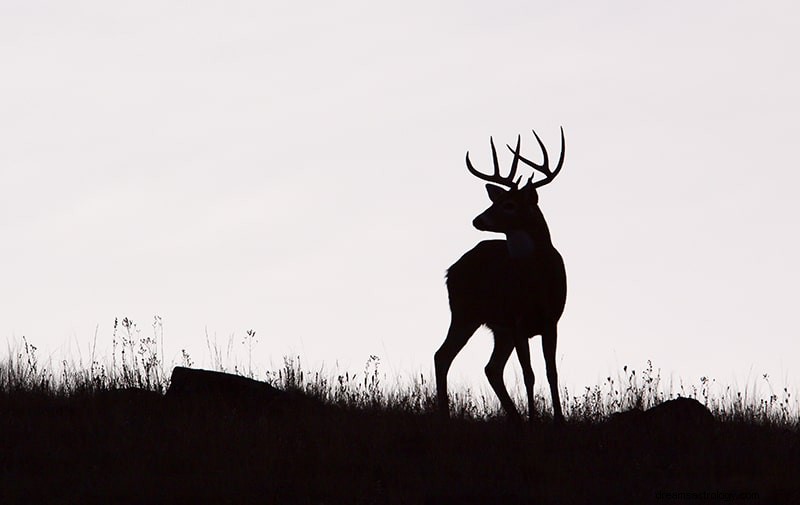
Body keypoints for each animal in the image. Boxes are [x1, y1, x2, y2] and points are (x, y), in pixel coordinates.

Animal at [438, 128, 568, 424]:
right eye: (494, 201)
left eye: (509, 204)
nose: (477, 220)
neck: (537, 281)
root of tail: (451, 270)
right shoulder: (518, 321)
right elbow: (529, 374)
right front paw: (534, 420)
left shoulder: (550, 321)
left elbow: (551, 372)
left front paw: (558, 419)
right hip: (465, 313)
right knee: (443, 356)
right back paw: (445, 415)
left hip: (499, 329)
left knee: (492, 367)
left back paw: (515, 418)